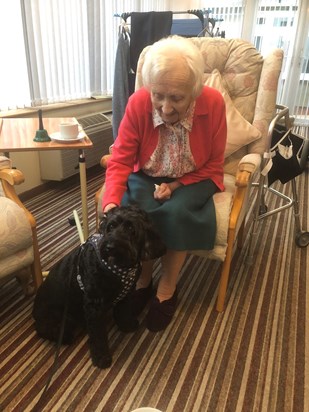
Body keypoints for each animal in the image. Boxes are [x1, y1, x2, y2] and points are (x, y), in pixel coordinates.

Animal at [32, 204, 165, 368]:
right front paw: (101, 357)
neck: (119, 267)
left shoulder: (126, 294)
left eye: (130, 228)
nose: (109, 247)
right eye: (111, 226)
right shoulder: (94, 306)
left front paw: (126, 325)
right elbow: (98, 335)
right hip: (62, 320)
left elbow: (123, 311)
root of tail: (34, 314)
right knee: (45, 330)